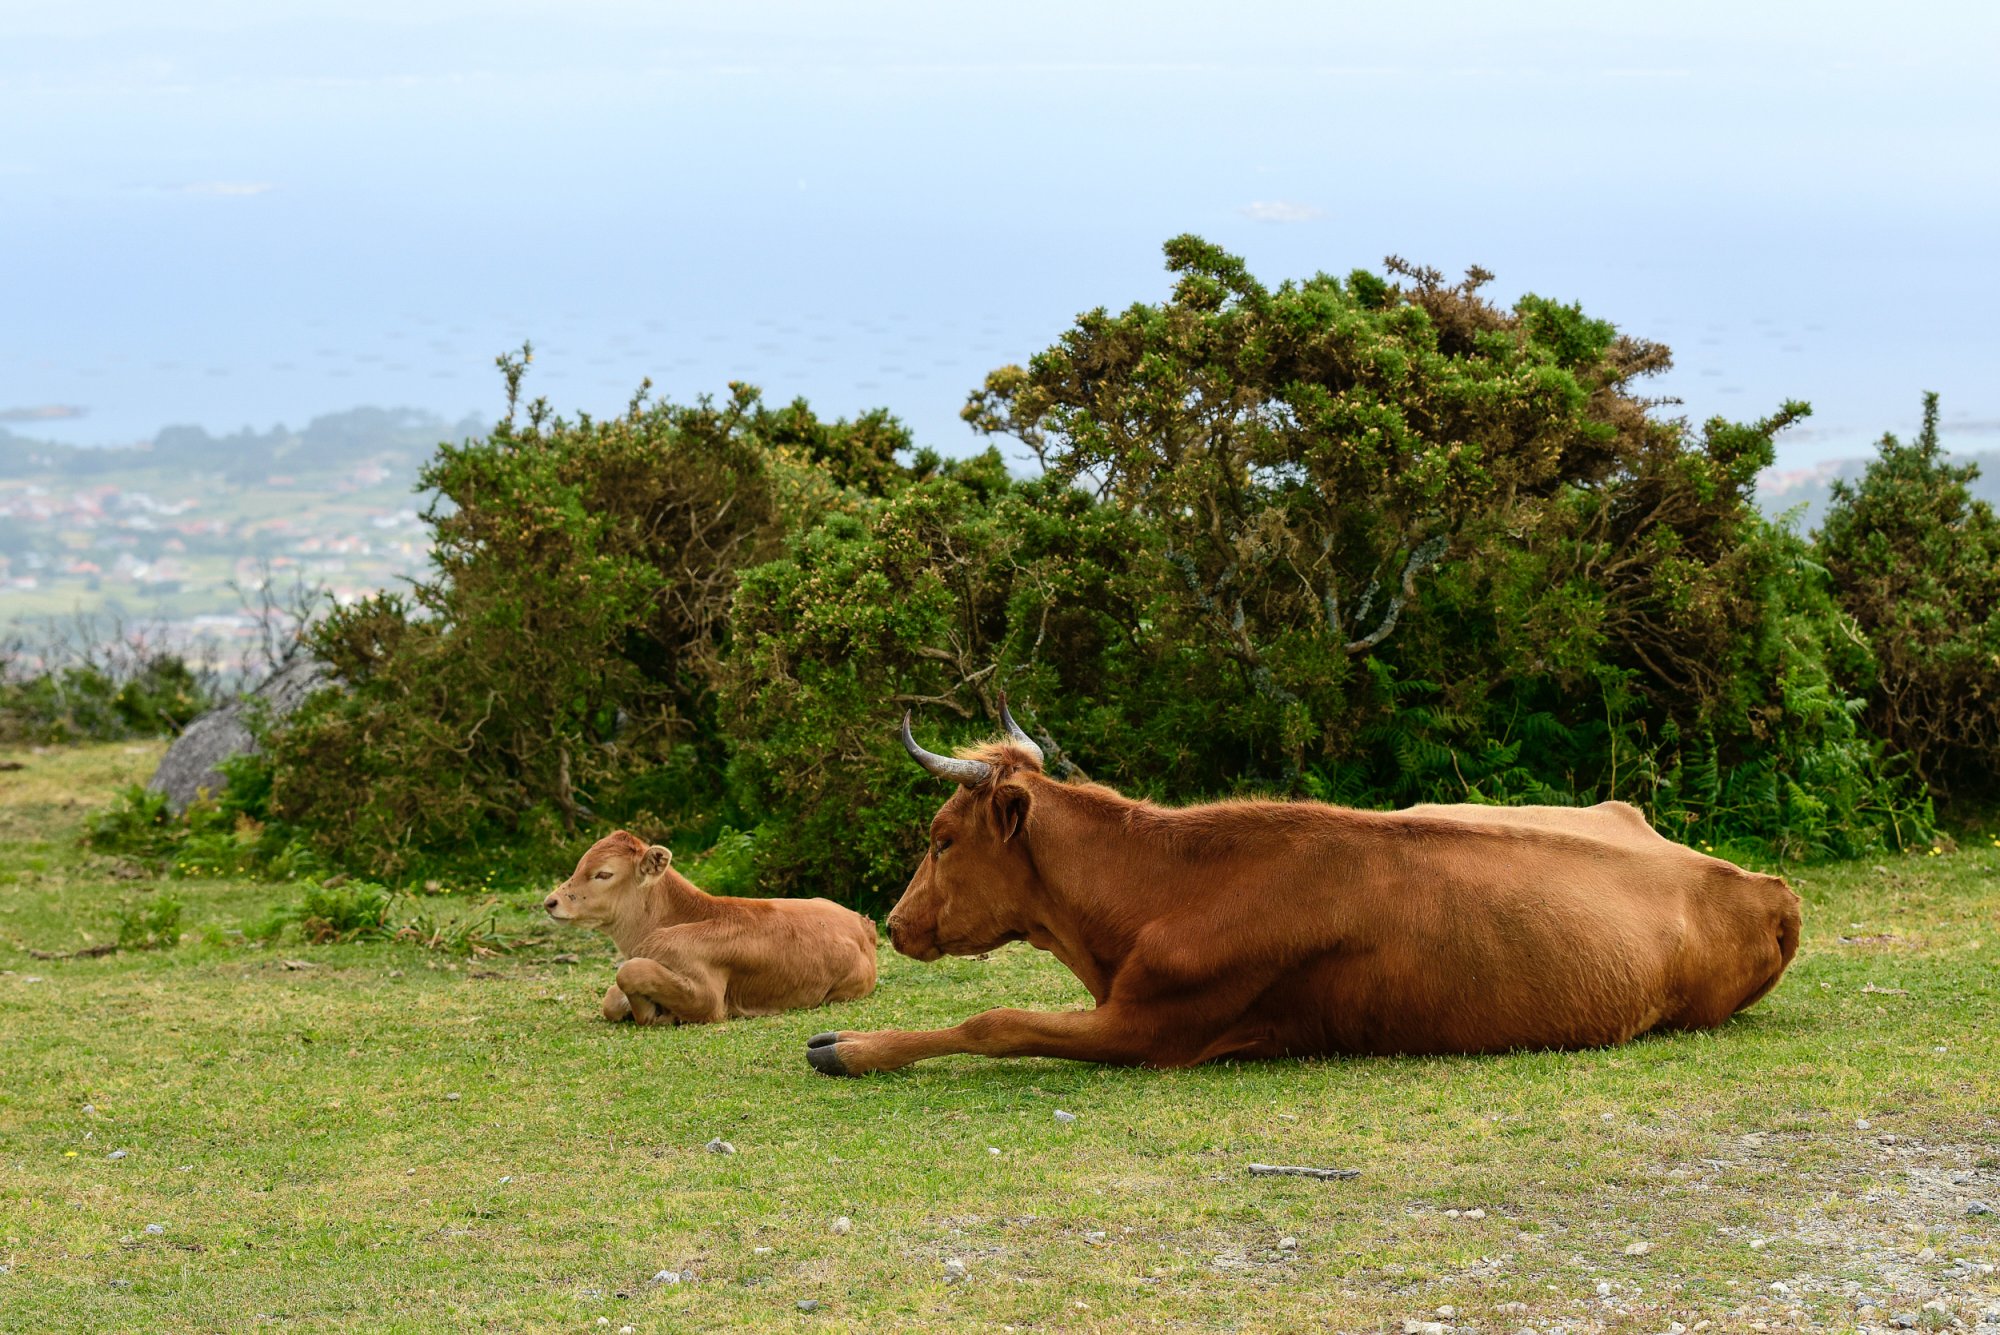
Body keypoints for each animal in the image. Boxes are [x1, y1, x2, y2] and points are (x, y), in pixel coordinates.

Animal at [546, 830, 877, 1025]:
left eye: (603, 874)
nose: (551, 901)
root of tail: (862, 922)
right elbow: (612, 998)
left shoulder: (707, 999)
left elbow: (628, 973)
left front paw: (656, 1015)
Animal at [804, 700, 1801, 1075]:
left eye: (940, 839)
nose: (893, 921)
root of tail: (1763, 883)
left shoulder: (1154, 1030)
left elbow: (994, 1020)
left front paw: (849, 1046)